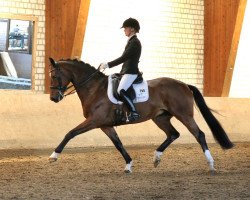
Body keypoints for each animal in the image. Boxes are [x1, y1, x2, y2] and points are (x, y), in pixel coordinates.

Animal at [48, 57, 232, 173]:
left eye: (55, 76)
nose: (53, 98)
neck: (95, 89)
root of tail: (184, 84)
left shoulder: (94, 121)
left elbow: (70, 133)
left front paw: (53, 156)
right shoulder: (105, 125)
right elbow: (118, 144)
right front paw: (129, 165)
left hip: (184, 115)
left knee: (199, 134)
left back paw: (211, 164)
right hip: (160, 117)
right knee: (173, 134)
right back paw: (156, 158)